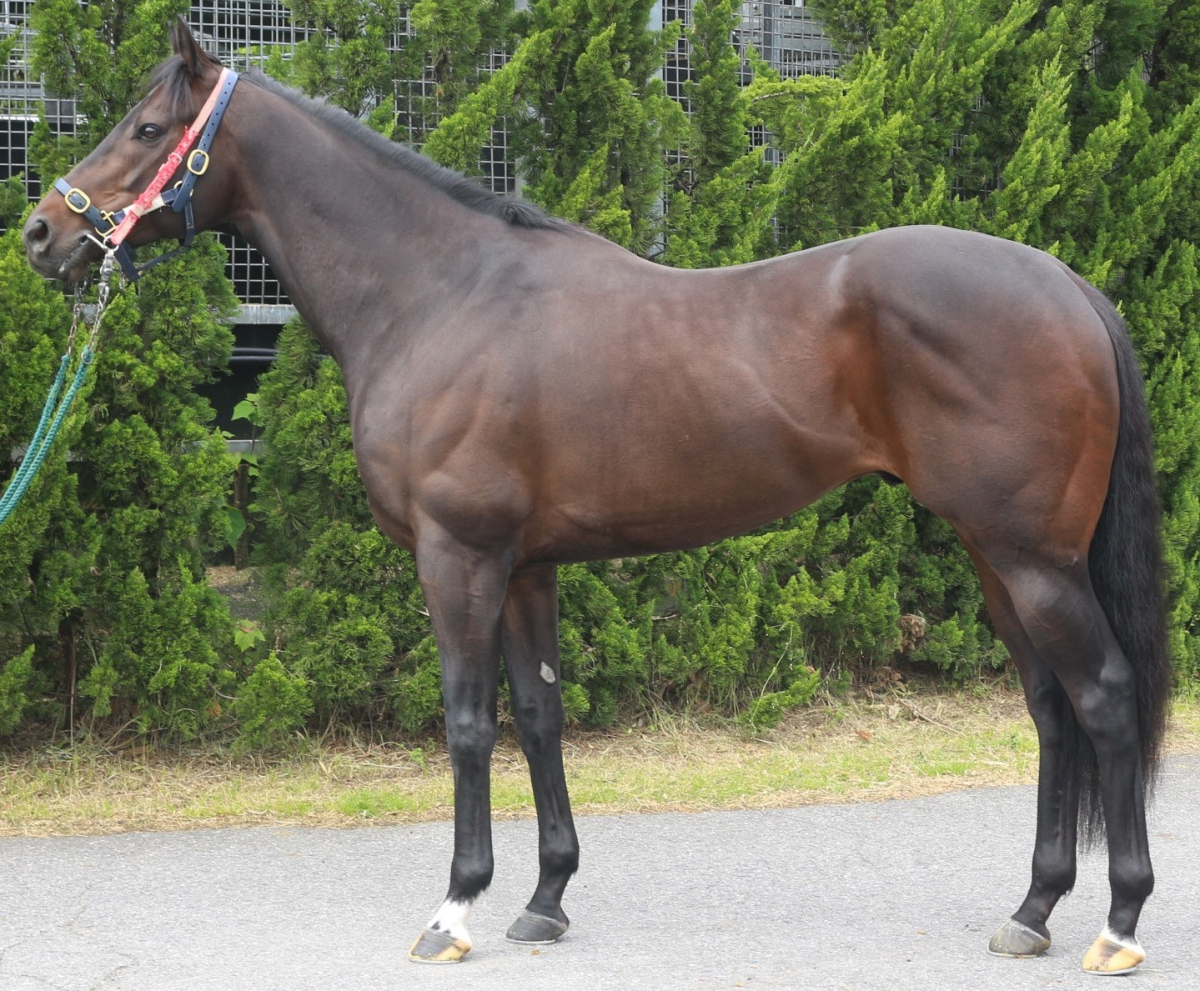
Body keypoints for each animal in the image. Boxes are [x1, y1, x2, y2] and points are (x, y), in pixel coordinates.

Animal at [23, 20, 1170, 975]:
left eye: (148, 128)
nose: (41, 233)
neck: (440, 293)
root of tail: (1070, 286)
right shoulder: (527, 565)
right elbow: (539, 713)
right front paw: (545, 899)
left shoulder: (459, 556)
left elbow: (468, 722)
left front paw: (454, 909)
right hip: (995, 555)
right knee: (1051, 708)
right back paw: (1031, 909)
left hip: (1031, 558)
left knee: (1106, 698)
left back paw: (1117, 923)